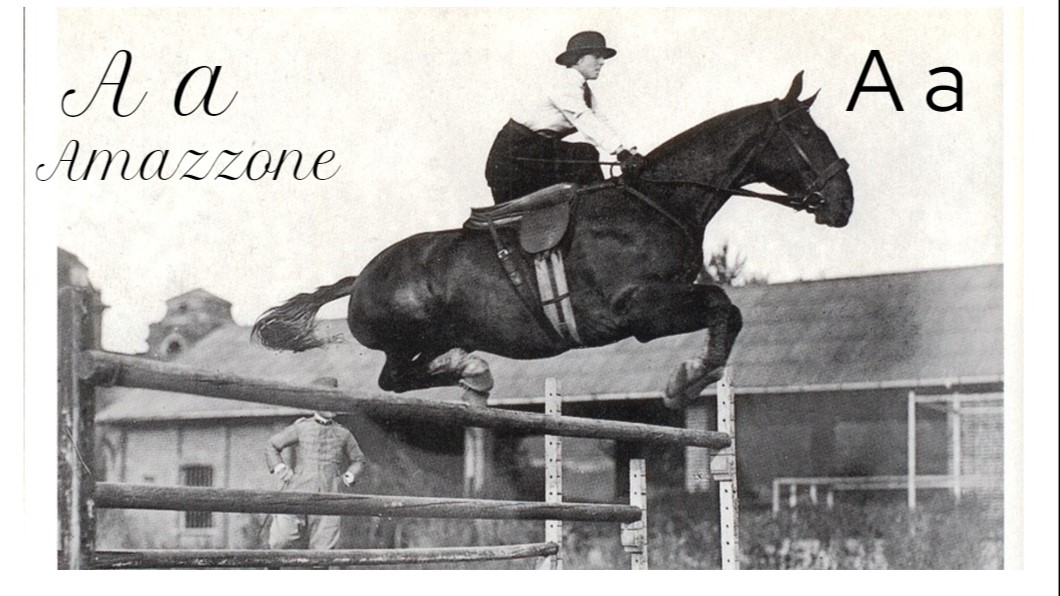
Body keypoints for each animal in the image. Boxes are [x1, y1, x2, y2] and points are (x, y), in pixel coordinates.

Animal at [253, 73, 854, 409]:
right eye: (805, 133)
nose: (843, 204)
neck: (656, 203)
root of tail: (361, 276)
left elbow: (727, 311)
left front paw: (689, 380)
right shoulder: (636, 309)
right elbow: (722, 306)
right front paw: (683, 383)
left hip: (434, 332)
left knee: (405, 375)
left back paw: (471, 376)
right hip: (407, 334)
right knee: (394, 379)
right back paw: (474, 375)